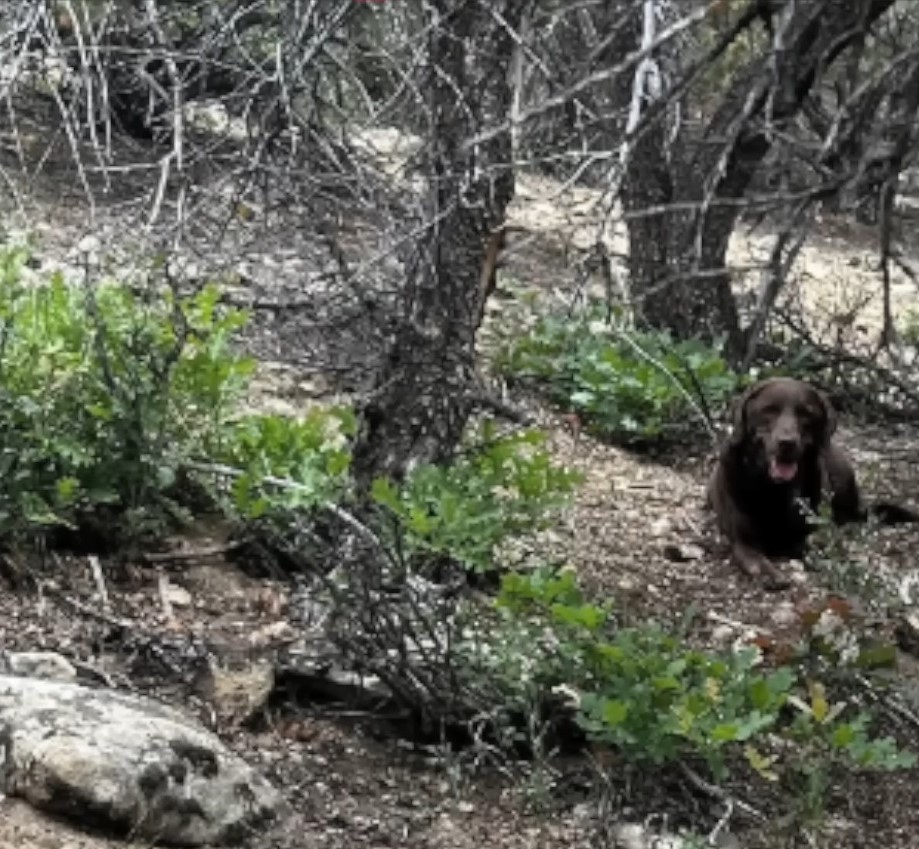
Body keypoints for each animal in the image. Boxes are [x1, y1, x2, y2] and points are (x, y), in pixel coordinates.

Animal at [712, 378, 912, 588]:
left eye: (805, 413)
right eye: (769, 410)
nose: (787, 443)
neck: (774, 488)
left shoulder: (811, 529)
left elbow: (816, 542)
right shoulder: (744, 543)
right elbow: (757, 562)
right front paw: (772, 575)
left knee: (850, 516)